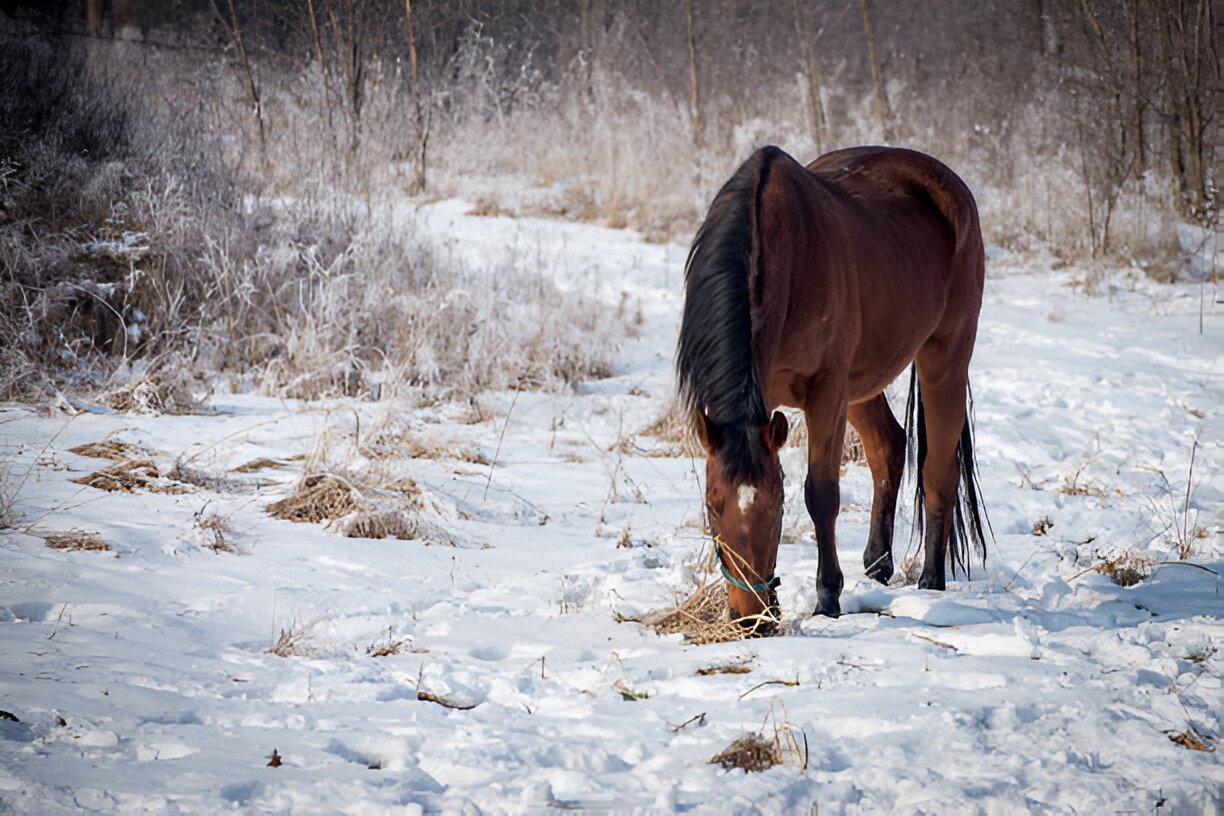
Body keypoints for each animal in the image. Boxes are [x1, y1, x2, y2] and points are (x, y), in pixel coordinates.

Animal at [676, 145, 989, 635]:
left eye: (778, 506)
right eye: (712, 506)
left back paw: (931, 581)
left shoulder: (826, 389)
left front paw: (827, 598)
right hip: (862, 384)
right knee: (888, 445)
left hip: (944, 360)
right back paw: (877, 563)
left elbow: (821, 494)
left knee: (939, 469)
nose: (751, 619)